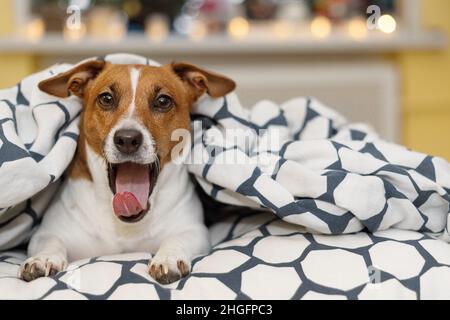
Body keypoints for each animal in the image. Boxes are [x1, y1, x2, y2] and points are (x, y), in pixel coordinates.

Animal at [18, 58, 236, 284]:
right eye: (106, 98)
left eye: (163, 101)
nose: (128, 139)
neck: (124, 228)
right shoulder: (46, 233)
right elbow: (49, 241)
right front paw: (43, 258)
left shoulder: (194, 230)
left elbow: (177, 238)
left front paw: (168, 257)